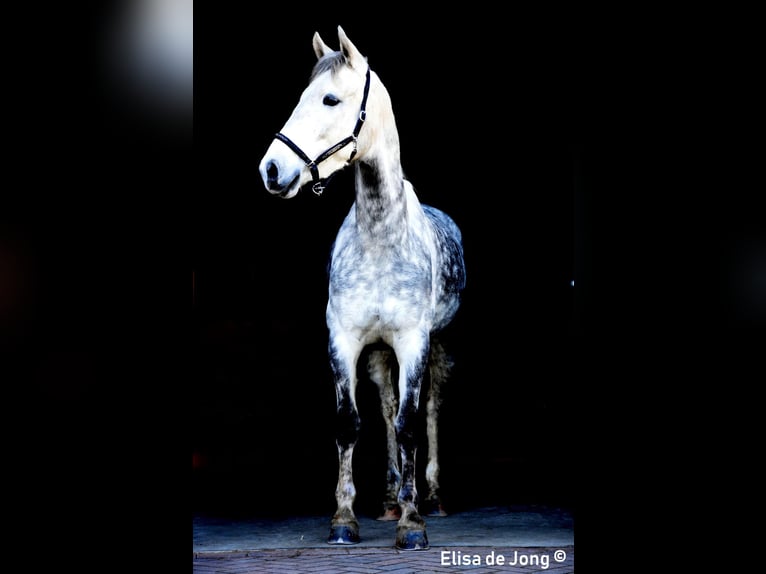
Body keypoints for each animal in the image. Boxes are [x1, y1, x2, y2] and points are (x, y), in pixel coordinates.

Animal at [258, 24, 468, 552]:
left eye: (330, 99)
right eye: (302, 97)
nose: (271, 170)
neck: (380, 236)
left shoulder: (414, 341)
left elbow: (411, 426)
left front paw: (413, 525)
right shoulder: (345, 341)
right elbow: (351, 423)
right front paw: (344, 518)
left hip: (439, 346)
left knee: (428, 408)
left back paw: (431, 496)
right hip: (377, 353)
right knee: (388, 405)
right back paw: (392, 495)